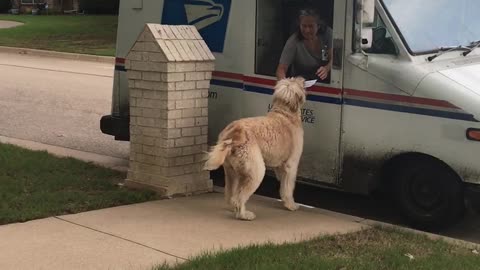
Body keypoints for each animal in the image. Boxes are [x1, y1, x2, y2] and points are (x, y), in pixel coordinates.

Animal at [202, 77, 308, 220]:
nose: (303, 79)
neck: (285, 113)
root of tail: (235, 135)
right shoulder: (291, 165)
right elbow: (288, 187)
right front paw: (291, 205)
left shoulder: (280, 165)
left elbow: (283, 184)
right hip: (256, 170)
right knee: (238, 198)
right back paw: (244, 214)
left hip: (232, 171)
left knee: (231, 196)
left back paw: (234, 209)